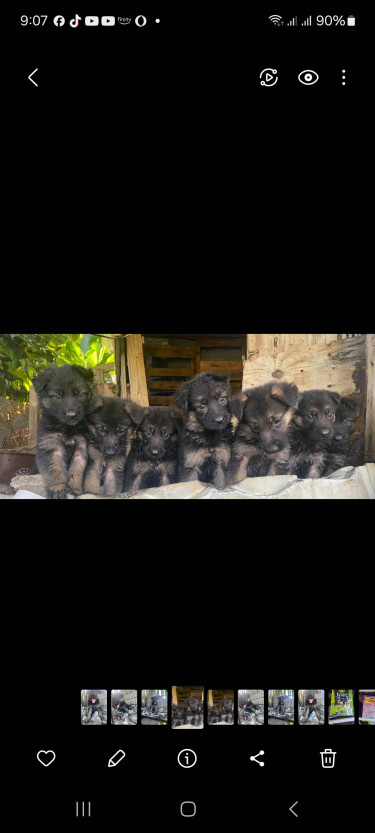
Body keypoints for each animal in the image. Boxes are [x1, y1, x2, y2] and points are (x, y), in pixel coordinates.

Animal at [33, 362, 94, 494]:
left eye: (81, 395)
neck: (67, 428)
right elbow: (55, 469)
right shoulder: (52, 447)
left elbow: (76, 471)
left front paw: (74, 489)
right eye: (57, 396)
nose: (72, 415)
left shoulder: (81, 449)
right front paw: (58, 489)